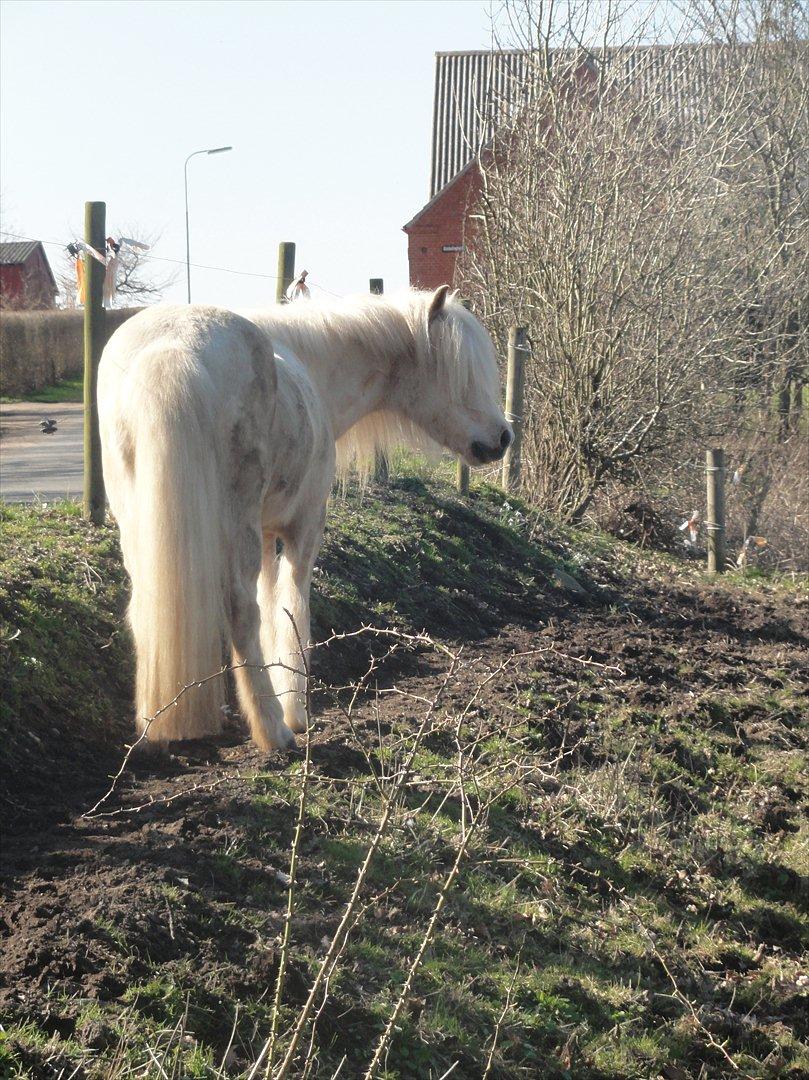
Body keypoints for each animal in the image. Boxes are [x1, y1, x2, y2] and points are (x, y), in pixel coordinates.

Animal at [97, 291, 507, 756]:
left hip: (141, 525)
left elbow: (272, 600)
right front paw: (294, 709)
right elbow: (293, 606)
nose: (503, 438)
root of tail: (174, 346)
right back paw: (274, 729)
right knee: (241, 612)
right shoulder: (305, 528)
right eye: (461, 375)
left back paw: (154, 726)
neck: (312, 367)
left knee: (147, 605)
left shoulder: (266, 534)